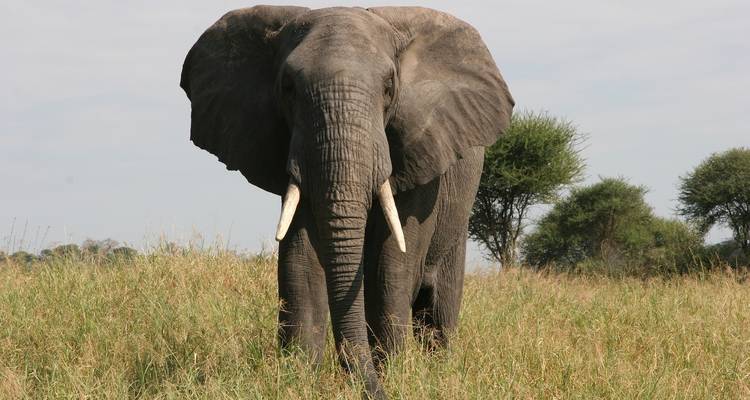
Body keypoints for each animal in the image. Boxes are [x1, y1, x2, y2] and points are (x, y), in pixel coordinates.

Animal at [180, 6, 513, 398]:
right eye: (288, 88)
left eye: (388, 88)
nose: (358, 384)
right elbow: (300, 262)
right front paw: (297, 381)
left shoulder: (419, 147)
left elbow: (391, 262)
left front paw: (393, 377)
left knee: (439, 309)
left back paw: (440, 371)